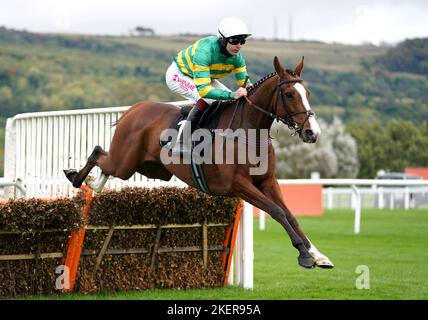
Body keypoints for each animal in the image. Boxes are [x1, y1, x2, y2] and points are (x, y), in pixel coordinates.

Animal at [65, 56, 334, 268]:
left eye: (308, 94)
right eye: (289, 94)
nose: (312, 132)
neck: (248, 132)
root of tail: (135, 108)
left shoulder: (267, 181)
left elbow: (290, 215)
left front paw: (318, 255)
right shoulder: (238, 184)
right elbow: (276, 211)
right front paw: (304, 255)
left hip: (149, 168)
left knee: (106, 164)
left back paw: (93, 182)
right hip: (126, 163)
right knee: (98, 153)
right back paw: (76, 177)